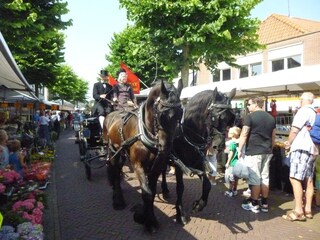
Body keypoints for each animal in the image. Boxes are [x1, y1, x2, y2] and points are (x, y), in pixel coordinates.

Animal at [102, 79, 182, 232]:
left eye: (180, 114)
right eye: (161, 114)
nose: (166, 147)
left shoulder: (156, 166)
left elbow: (151, 192)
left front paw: (147, 217)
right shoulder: (138, 165)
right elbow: (146, 193)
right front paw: (147, 221)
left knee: (118, 169)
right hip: (112, 150)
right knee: (114, 170)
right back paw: (118, 200)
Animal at [162, 87, 235, 225]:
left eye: (230, 119)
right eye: (214, 118)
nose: (219, 146)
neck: (187, 134)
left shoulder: (198, 163)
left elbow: (207, 185)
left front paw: (198, 205)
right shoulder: (179, 166)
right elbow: (180, 187)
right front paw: (180, 213)